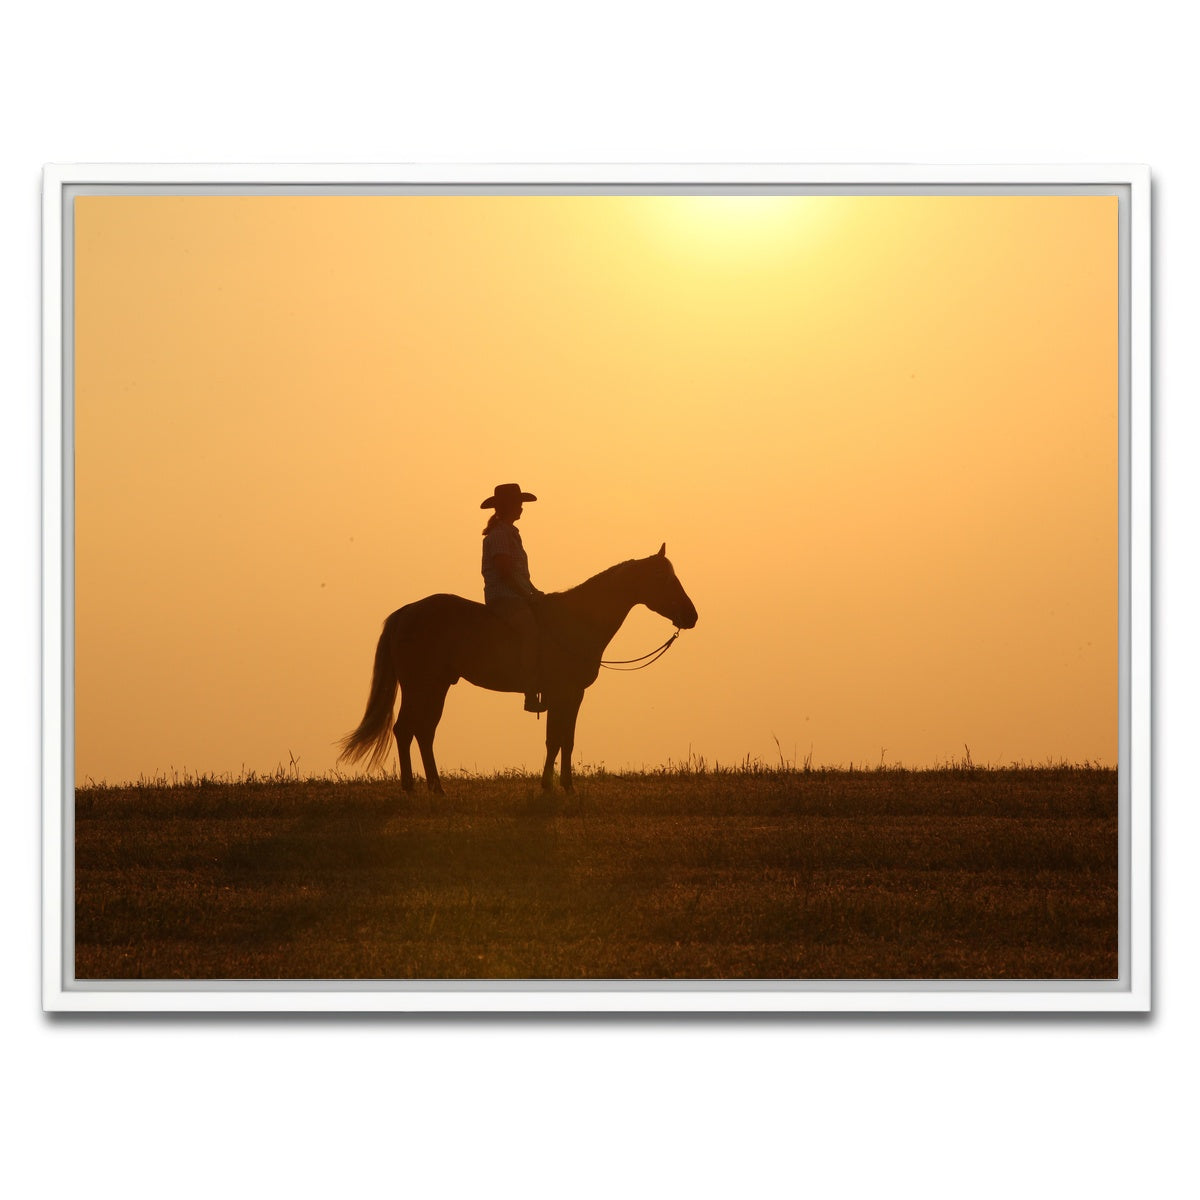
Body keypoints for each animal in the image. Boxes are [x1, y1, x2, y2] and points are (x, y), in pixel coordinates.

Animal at [338, 544, 698, 793]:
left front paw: (561, 785)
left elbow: (564, 739)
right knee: (405, 729)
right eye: (664, 578)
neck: (576, 621)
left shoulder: (571, 695)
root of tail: (406, 612)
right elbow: (556, 739)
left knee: (424, 732)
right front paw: (555, 787)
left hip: (436, 686)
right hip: (420, 685)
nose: (692, 616)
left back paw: (437, 789)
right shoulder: (564, 693)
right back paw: (413, 788)